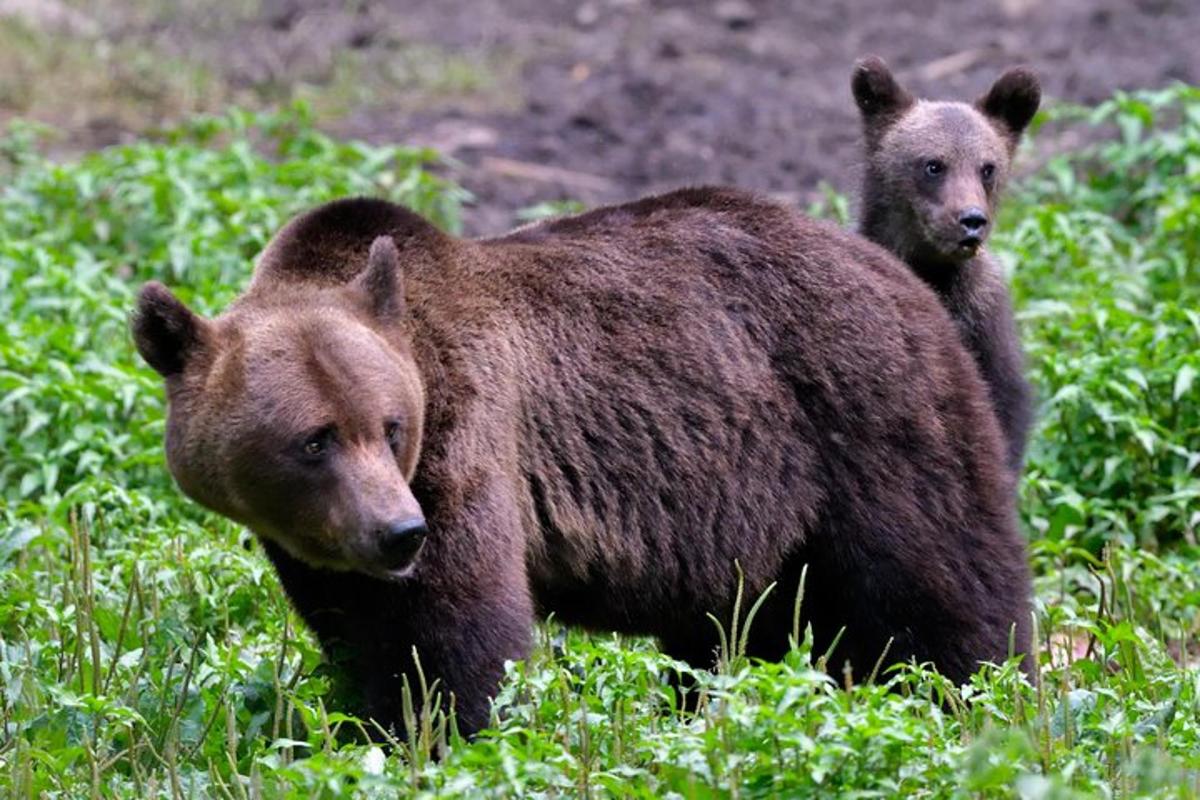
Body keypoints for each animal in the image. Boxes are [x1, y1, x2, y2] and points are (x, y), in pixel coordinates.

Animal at [133, 188, 1032, 738]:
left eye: (389, 426)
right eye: (314, 439)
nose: (397, 533)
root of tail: (900, 274)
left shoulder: (468, 441)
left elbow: (457, 636)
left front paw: (447, 733)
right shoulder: (322, 550)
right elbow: (364, 638)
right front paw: (367, 723)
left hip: (867, 421)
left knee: (942, 592)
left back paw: (991, 701)